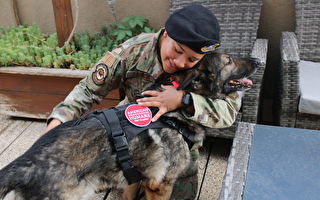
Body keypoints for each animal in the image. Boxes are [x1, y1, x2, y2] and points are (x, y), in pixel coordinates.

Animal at [0, 52, 260, 199]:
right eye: (228, 60)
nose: (258, 60)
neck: (170, 114)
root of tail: (22, 165)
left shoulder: (135, 177)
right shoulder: (160, 186)